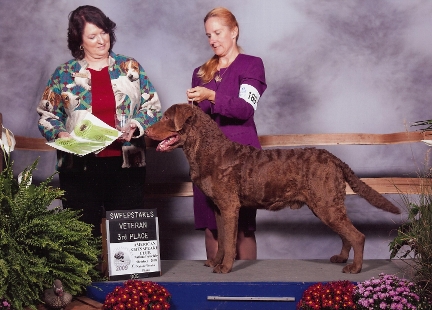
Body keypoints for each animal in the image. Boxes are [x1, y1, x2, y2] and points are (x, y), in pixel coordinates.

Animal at [146, 104, 402, 274]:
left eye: (166, 117)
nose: (146, 132)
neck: (208, 149)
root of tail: (333, 158)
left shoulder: (230, 206)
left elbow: (229, 242)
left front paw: (225, 268)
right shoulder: (219, 208)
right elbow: (221, 241)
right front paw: (214, 262)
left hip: (326, 204)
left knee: (357, 236)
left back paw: (355, 268)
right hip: (328, 205)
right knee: (346, 234)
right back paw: (341, 258)